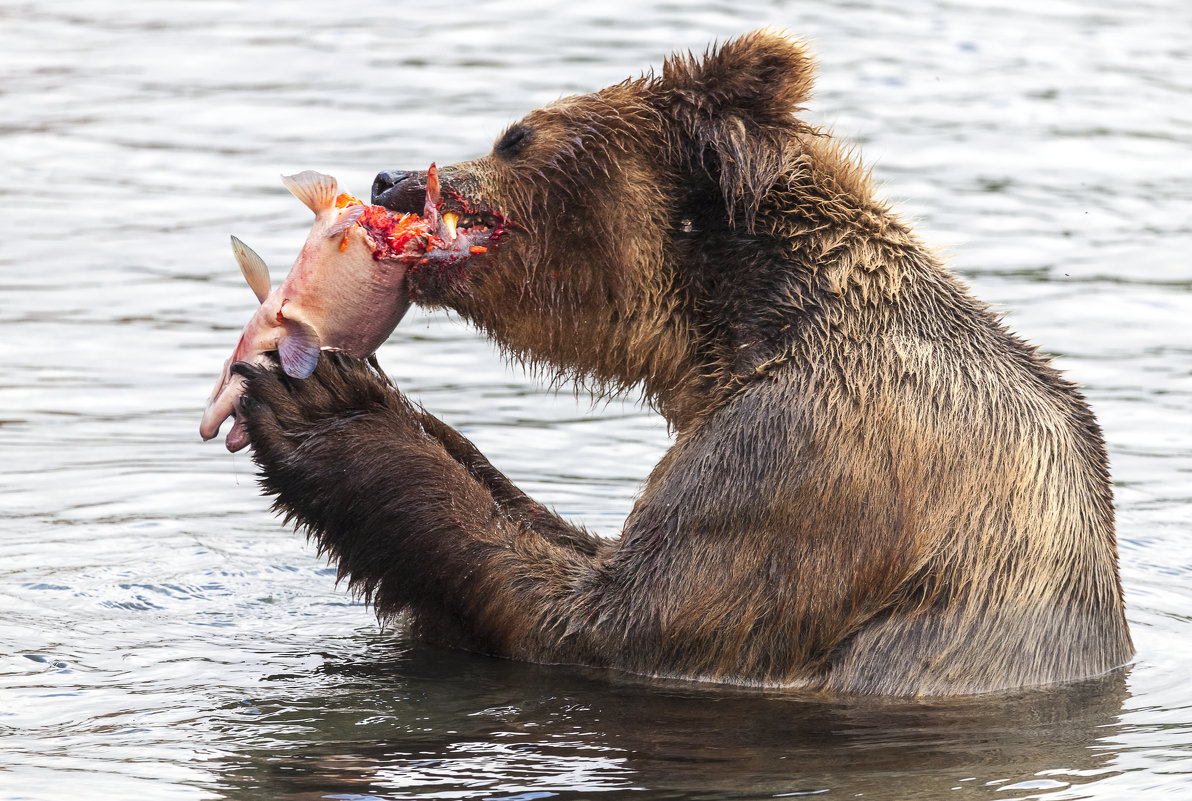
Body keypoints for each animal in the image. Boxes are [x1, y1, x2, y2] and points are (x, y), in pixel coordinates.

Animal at [230, 29, 1125, 696]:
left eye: (517, 134)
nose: (394, 177)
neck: (741, 323)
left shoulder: (811, 458)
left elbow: (612, 621)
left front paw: (326, 403)